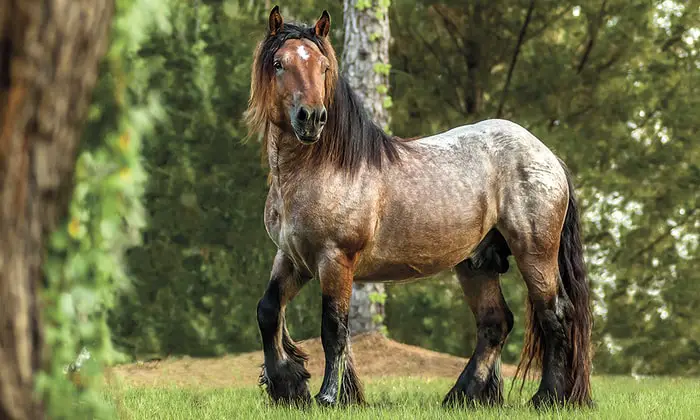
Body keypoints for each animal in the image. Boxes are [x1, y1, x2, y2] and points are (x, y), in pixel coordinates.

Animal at [247, 6, 593, 409]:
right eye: (279, 64)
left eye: (324, 67)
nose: (312, 118)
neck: (323, 168)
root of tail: (547, 155)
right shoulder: (293, 257)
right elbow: (268, 311)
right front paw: (288, 385)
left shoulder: (335, 260)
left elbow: (333, 328)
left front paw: (330, 397)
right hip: (476, 263)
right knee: (495, 323)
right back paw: (462, 396)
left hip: (535, 254)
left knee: (555, 315)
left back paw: (549, 397)